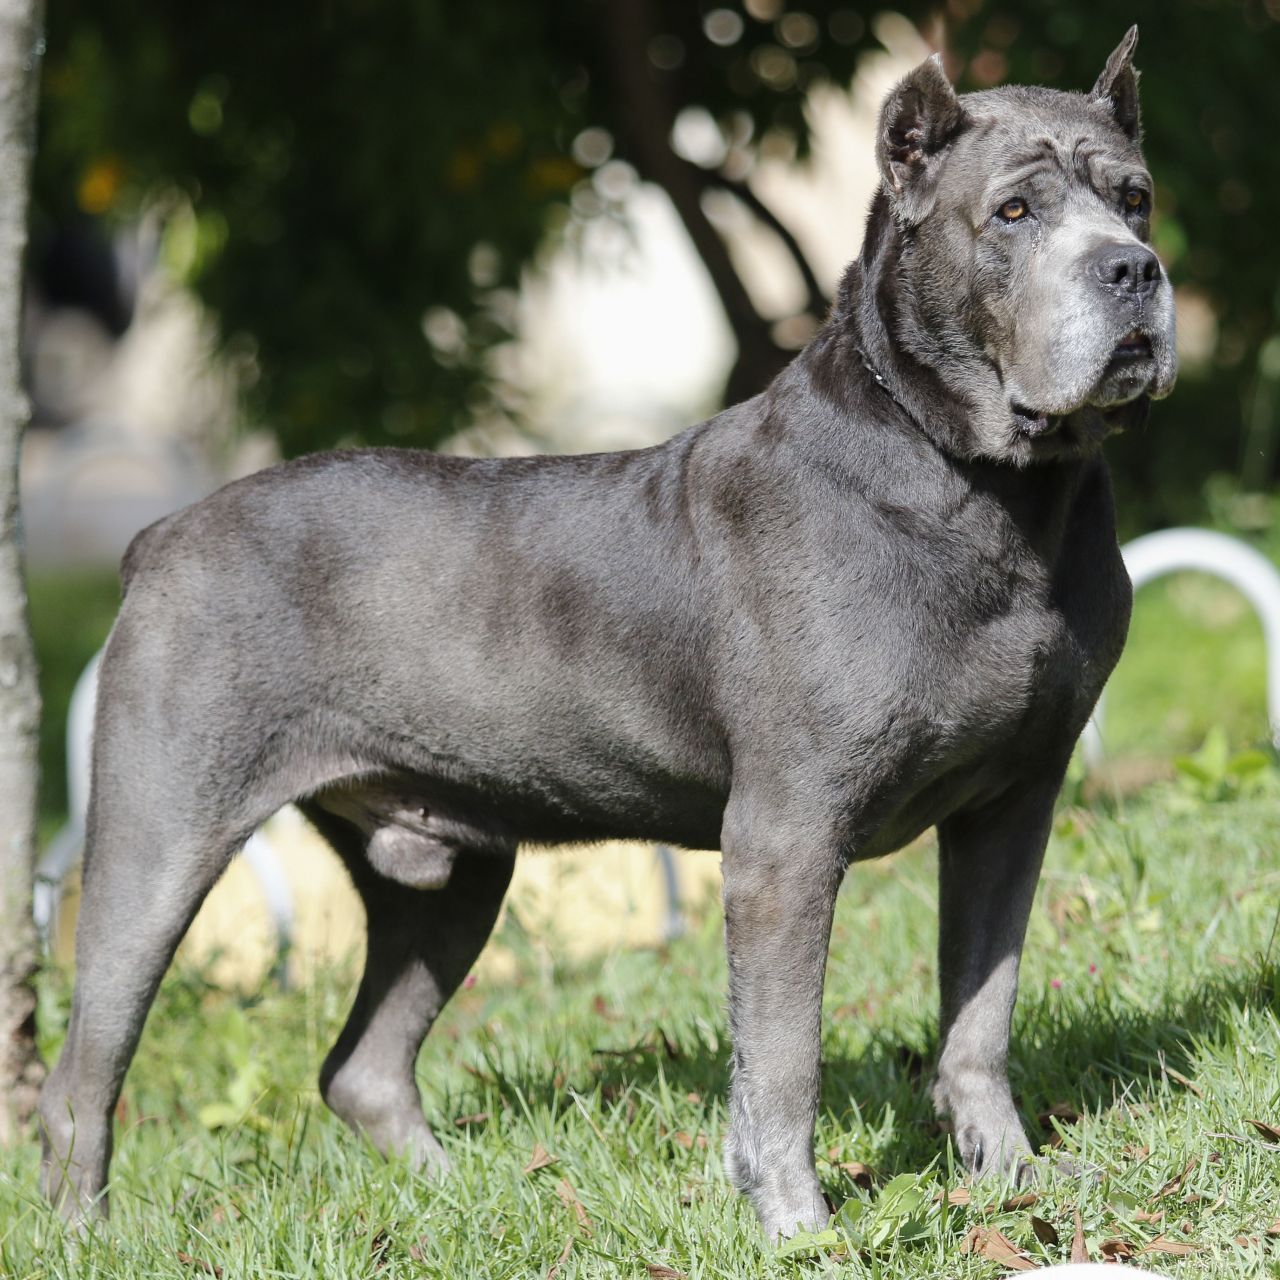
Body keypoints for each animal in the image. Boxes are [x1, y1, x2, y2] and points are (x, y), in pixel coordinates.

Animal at [40, 30, 1172, 1239]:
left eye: (1134, 199)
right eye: (1012, 212)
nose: (1133, 271)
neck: (992, 492)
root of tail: (161, 534)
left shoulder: (1012, 805)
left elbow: (980, 1011)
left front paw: (1010, 1178)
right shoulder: (786, 835)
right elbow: (783, 1052)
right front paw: (797, 1224)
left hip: (449, 869)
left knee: (364, 1064)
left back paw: (470, 1196)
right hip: (161, 835)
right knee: (84, 1074)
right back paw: (86, 1234)